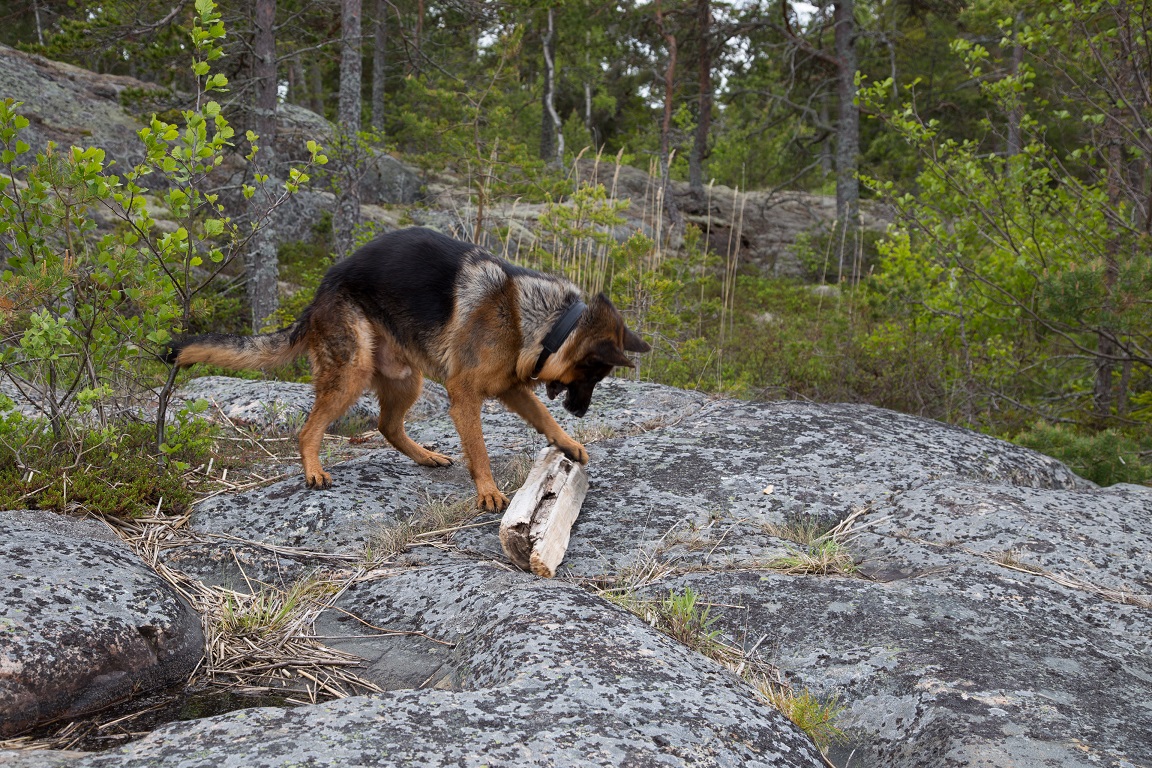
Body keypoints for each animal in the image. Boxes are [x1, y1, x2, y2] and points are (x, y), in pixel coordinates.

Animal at [167, 225, 654, 511]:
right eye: (591, 377)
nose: (583, 412)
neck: (548, 322)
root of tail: (322, 288)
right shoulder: (465, 396)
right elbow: (479, 450)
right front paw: (488, 490)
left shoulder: (510, 388)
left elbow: (543, 417)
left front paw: (568, 443)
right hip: (352, 371)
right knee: (309, 429)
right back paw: (312, 469)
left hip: (408, 379)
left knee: (387, 425)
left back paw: (425, 455)